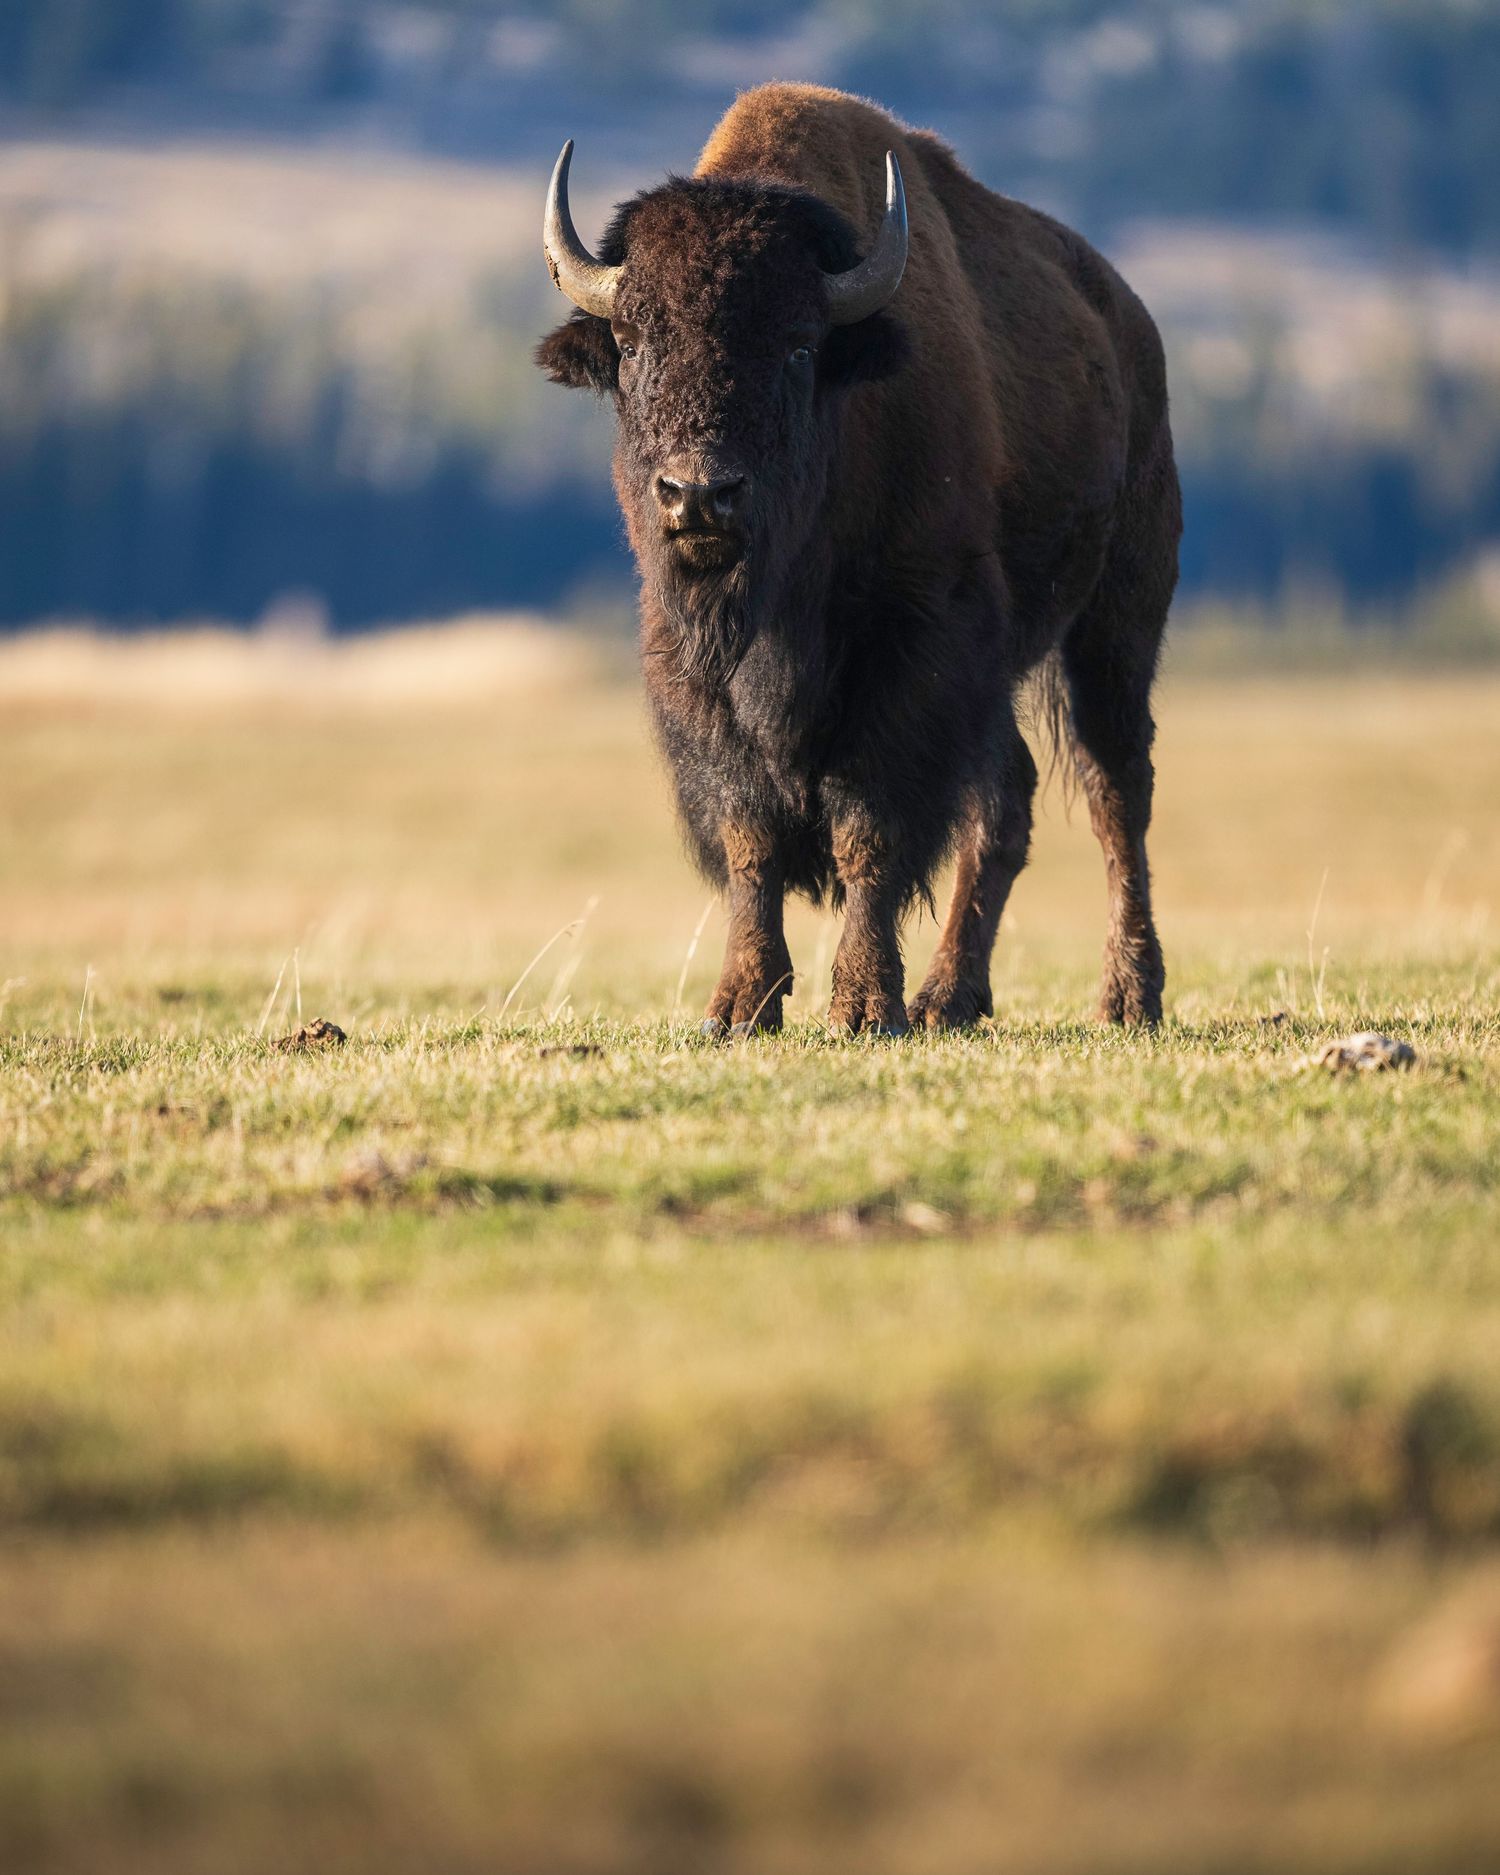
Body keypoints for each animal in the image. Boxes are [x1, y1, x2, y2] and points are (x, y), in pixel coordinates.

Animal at [537, 83, 1181, 1035]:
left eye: (800, 346)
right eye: (632, 342)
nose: (699, 495)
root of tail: (1131, 325)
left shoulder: (916, 646)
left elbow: (869, 824)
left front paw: (866, 1005)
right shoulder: (691, 665)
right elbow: (751, 833)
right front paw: (740, 1005)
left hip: (1116, 622)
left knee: (1115, 793)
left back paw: (1128, 995)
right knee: (1007, 801)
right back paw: (951, 997)